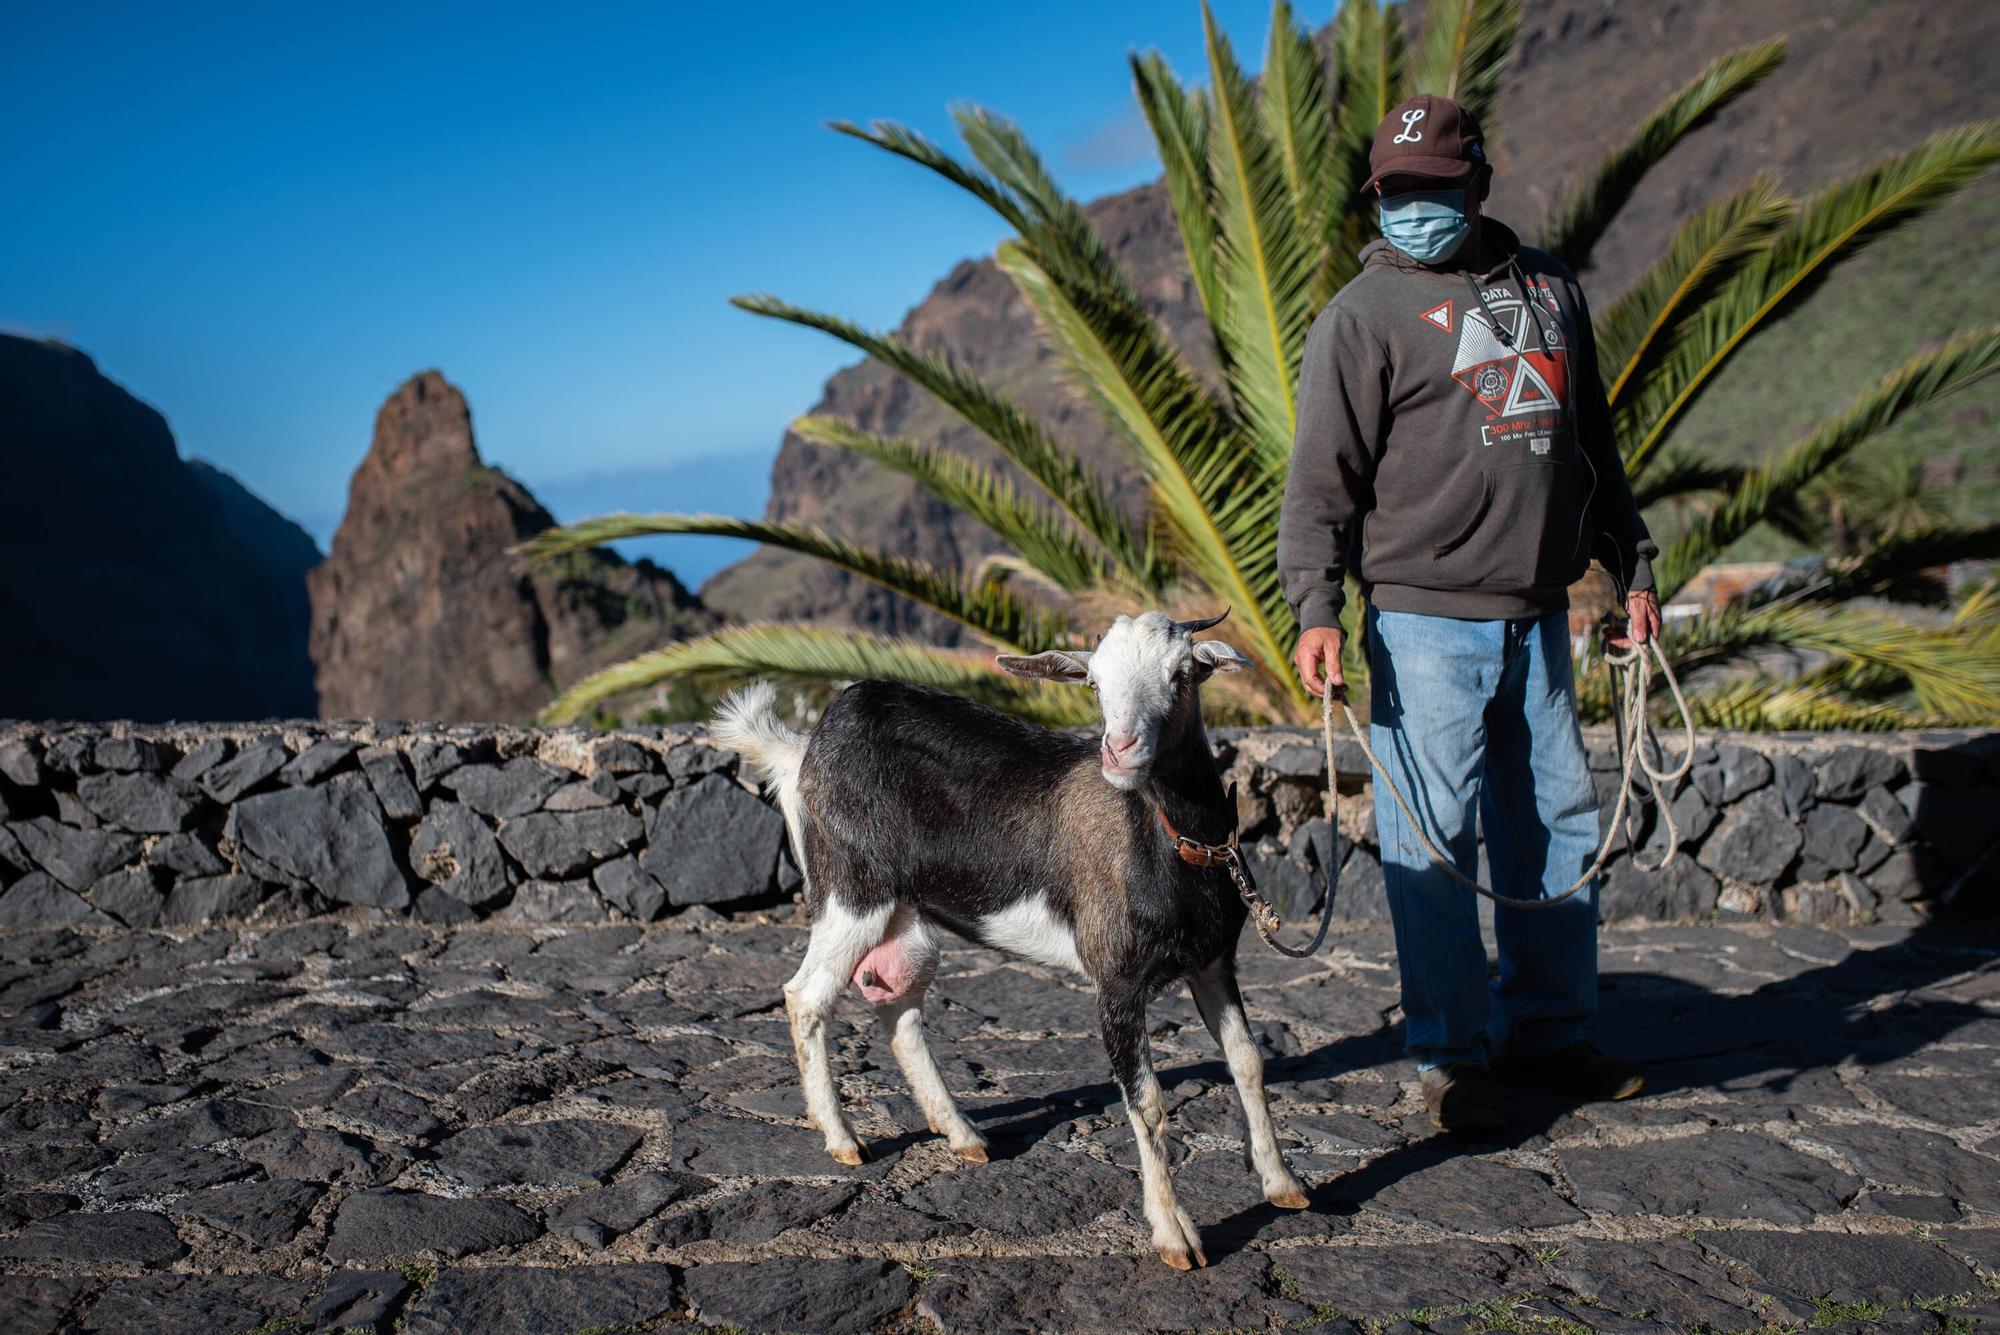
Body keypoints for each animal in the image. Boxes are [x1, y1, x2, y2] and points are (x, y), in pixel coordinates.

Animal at [716, 611, 1312, 1271]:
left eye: (1183, 672)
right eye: (1095, 684)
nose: (1120, 750)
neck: (1173, 840)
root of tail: (801, 750)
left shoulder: (1213, 965)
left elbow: (1249, 1063)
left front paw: (1283, 1184)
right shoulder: (1116, 981)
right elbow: (1149, 1103)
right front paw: (1174, 1237)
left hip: (906, 916)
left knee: (898, 1005)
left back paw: (962, 1133)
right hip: (851, 895)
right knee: (806, 997)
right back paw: (843, 1139)